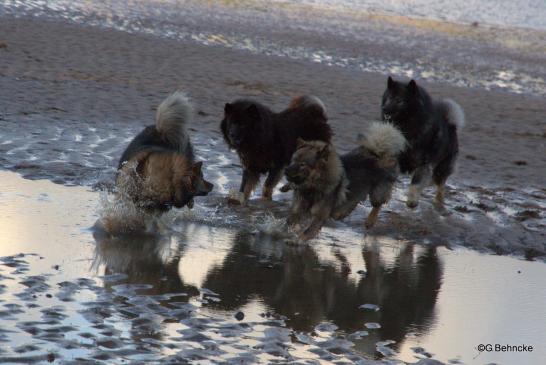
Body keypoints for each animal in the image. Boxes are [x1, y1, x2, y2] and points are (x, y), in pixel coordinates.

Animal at [380, 77, 462, 208]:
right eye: (388, 98)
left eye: (399, 100)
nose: (384, 108)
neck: (407, 127)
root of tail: (451, 126)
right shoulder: (396, 158)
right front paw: (385, 194)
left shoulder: (423, 164)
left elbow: (416, 183)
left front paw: (412, 201)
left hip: (442, 169)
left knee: (440, 186)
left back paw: (439, 202)